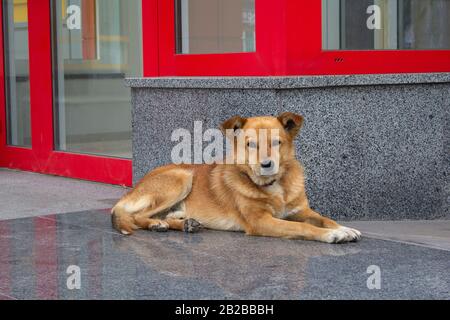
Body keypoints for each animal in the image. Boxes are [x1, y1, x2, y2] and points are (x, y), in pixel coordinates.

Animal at [111, 112, 362, 242]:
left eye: (276, 142)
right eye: (251, 144)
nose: (266, 165)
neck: (274, 186)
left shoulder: (302, 211)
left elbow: (325, 219)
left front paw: (343, 228)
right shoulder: (261, 221)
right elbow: (303, 228)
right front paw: (332, 235)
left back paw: (184, 223)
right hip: (181, 178)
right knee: (136, 216)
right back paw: (156, 224)